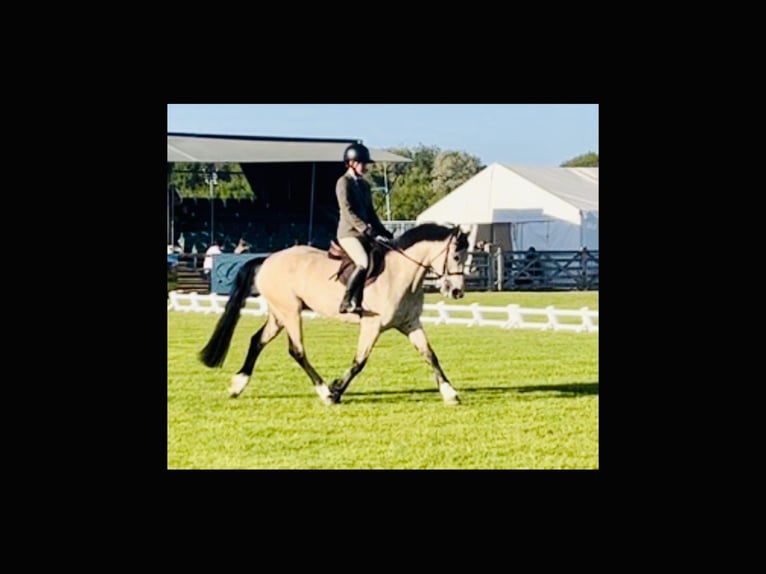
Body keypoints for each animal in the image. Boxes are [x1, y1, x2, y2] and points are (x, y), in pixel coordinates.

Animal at [199, 223, 470, 406]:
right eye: (456, 256)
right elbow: (359, 361)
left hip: (279, 313)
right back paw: (324, 392)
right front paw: (337, 390)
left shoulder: (410, 323)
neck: (400, 273)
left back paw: (238, 385)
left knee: (258, 341)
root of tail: (267, 259)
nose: (457, 292)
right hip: (290, 311)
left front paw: (450, 393)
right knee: (297, 351)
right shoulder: (372, 325)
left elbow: (430, 355)